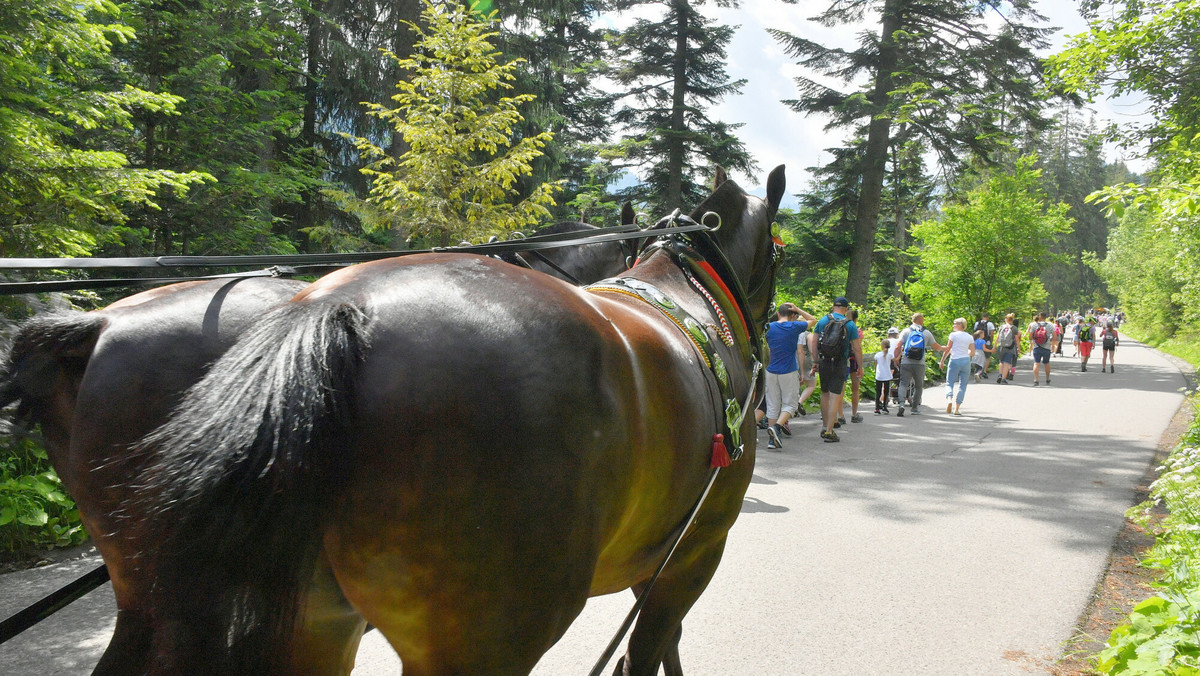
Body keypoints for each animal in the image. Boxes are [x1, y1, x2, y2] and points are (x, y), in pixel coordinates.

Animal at [133, 165, 787, 676]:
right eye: (779, 251)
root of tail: (338, 307)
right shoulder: (696, 549)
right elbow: (650, 646)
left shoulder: (658, 550)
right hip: (487, 638)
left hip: (315, 622)